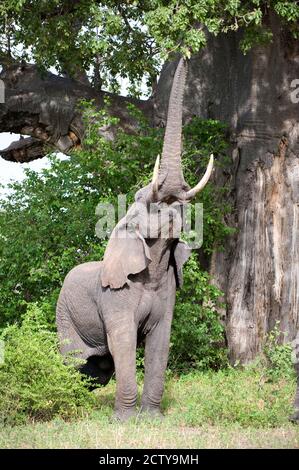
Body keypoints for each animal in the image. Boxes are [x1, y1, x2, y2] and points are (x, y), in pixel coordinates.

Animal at [56, 57, 214, 420]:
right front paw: (126, 421)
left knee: (99, 367)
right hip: (64, 315)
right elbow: (125, 340)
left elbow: (160, 341)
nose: (186, 54)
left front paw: (152, 417)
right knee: (74, 361)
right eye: (147, 202)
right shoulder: (115, 295)